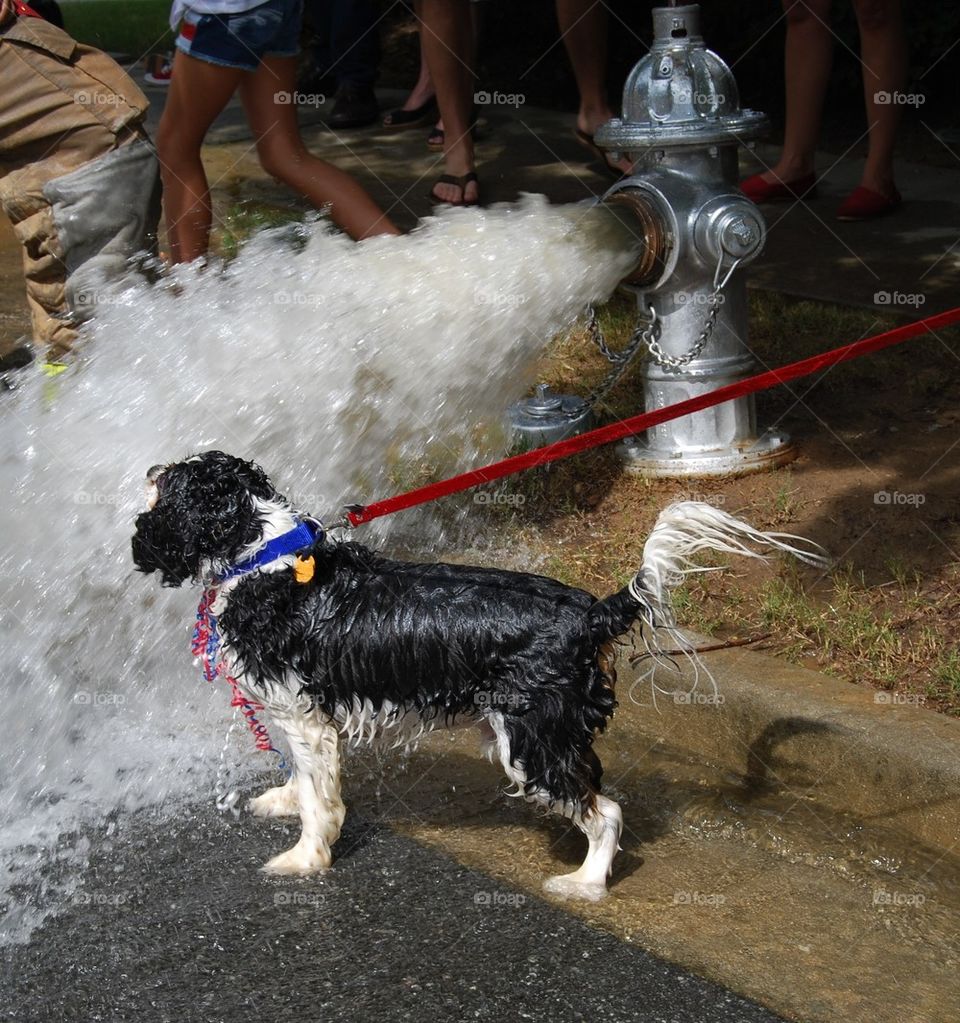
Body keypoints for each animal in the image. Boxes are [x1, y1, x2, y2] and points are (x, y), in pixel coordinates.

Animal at [131, 452, 822, 900]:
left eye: (163, 489)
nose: (143, 474)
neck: (265, 555)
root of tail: (591, 610)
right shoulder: (299, 716)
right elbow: (303, 784)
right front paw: (283, 801)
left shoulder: (306, 719)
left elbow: (320, 801)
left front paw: (303, 860)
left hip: (534, 741)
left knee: (607, 811)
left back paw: (584, 884)